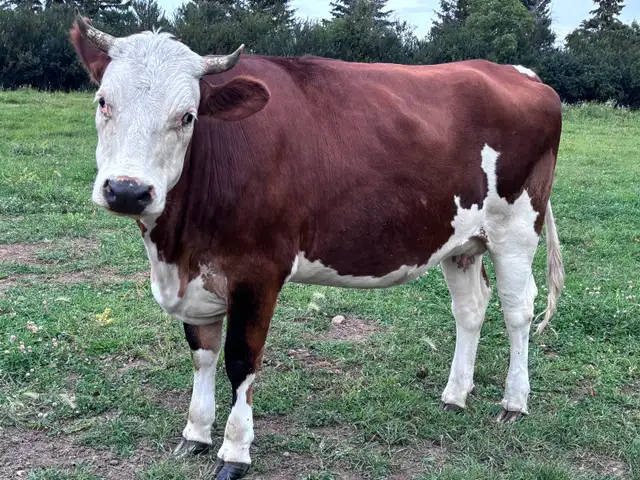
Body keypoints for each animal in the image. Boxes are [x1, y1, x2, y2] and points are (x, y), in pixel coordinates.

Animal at [70, 13, 564, 480]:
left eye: (188, 116)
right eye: (103, 102)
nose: (127, 190)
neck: (175, 247)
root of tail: (513, 71)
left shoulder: (258, 271)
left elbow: (240, 360)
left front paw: (234, 452)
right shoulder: (195, 276)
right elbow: (202, 353)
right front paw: (195, 433)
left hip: (517, 227)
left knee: (518, 309)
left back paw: (514, 402)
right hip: (461, 239)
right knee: (470, 308)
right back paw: (455, 394)